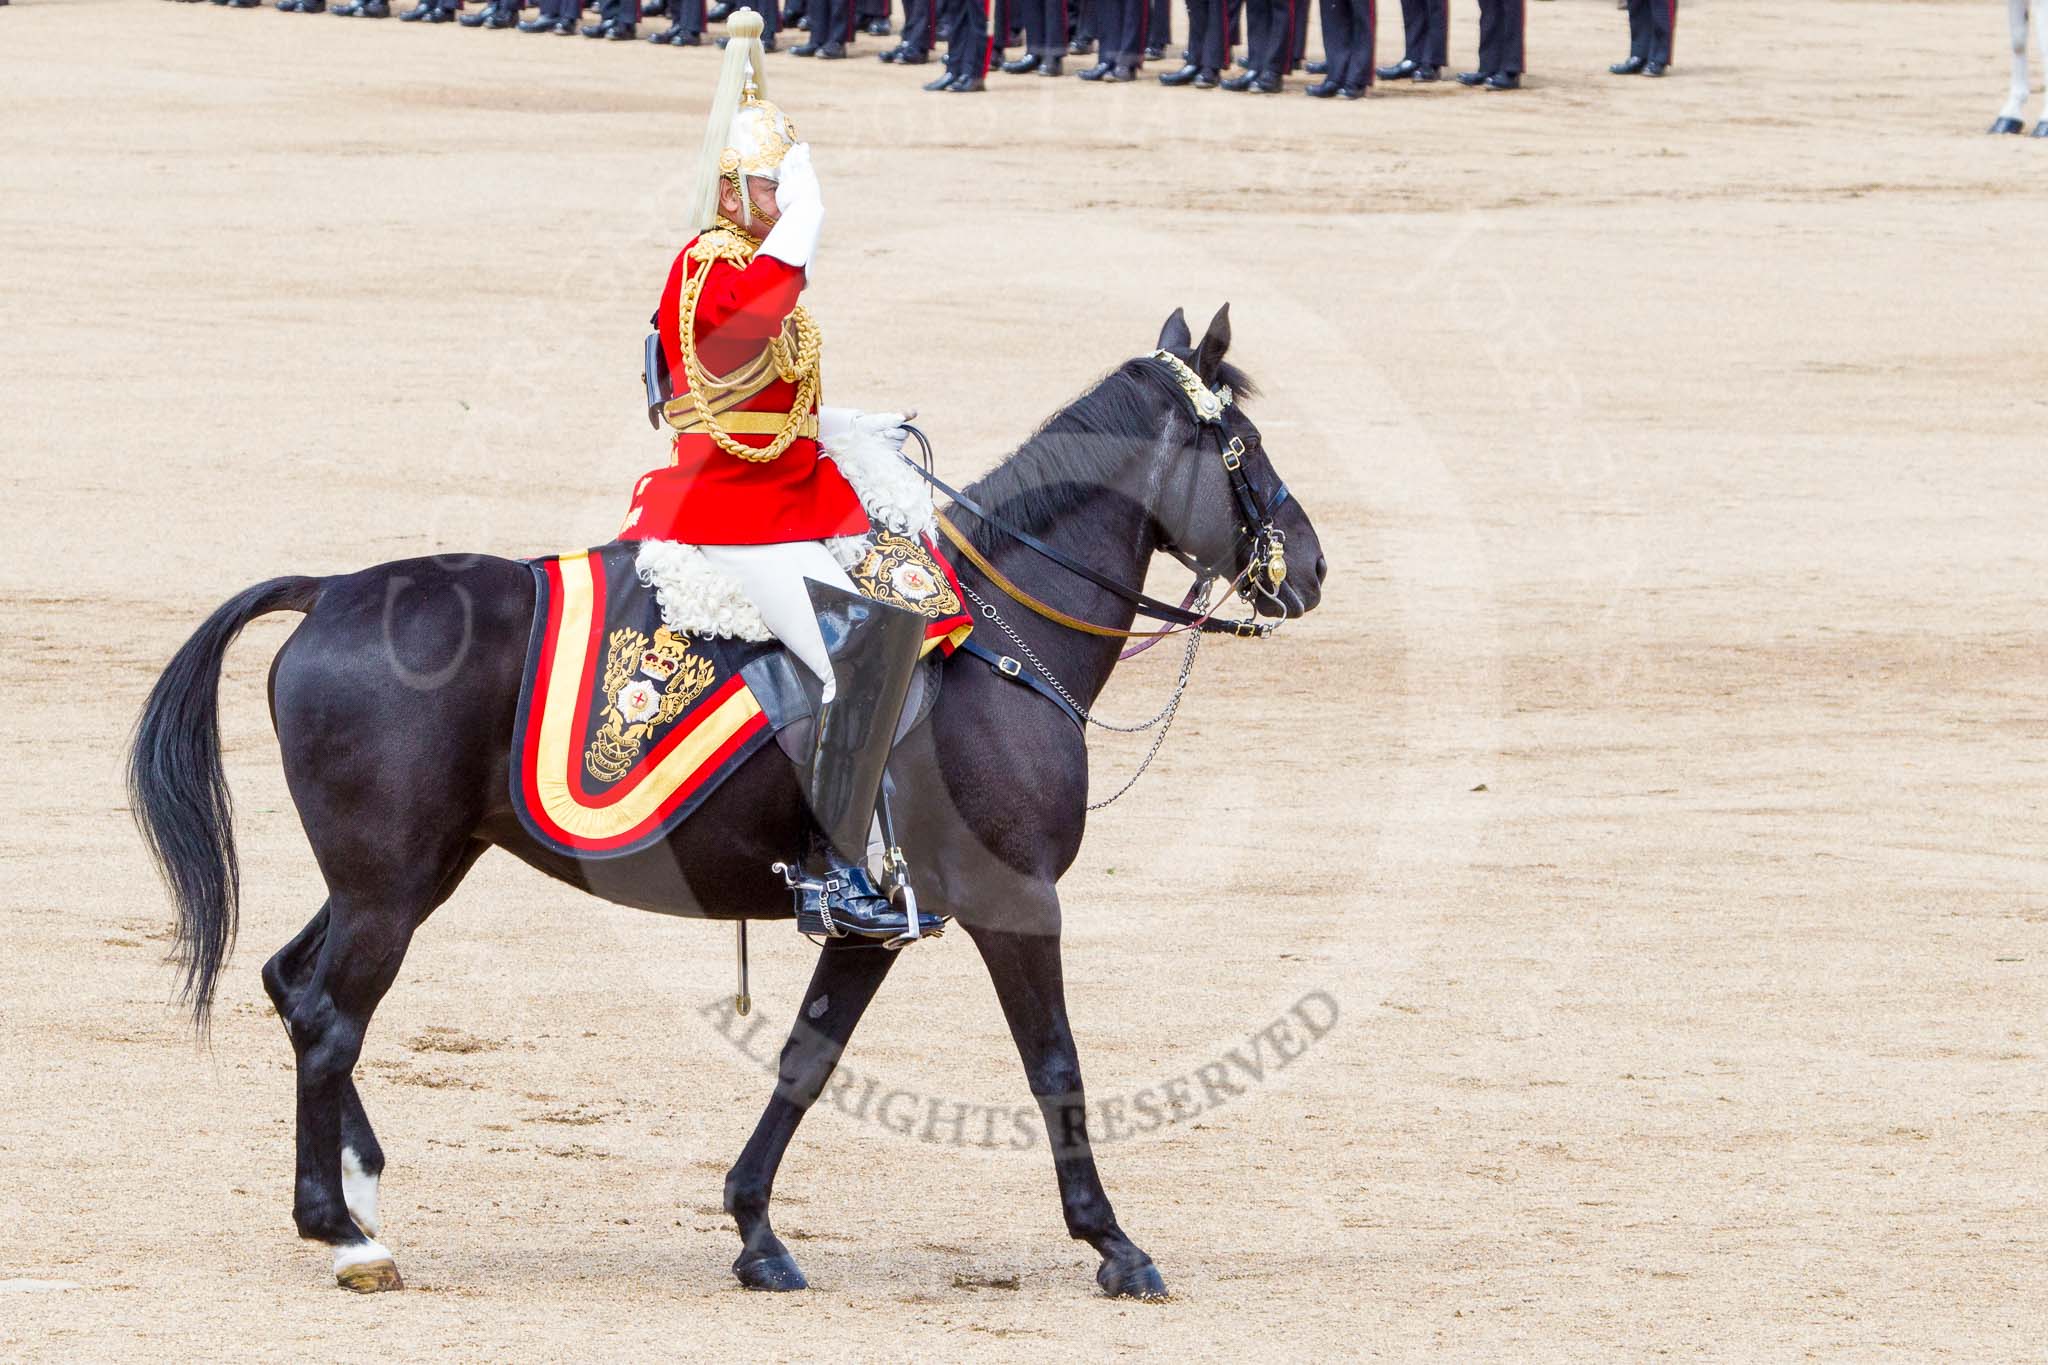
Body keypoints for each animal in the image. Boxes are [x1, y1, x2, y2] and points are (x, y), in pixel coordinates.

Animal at [136, 306, 1335, 1301]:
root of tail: (330, 592)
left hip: (410, 873)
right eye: (1244, 447)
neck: (997, 639)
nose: (1313, 568)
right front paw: (1113, 1243)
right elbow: (1055, 1067)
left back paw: (360, 1186)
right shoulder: (1016, 901)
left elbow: (808, 1058)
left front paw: (755, 1229)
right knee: (330, 1018)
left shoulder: (872, 921)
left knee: (292, 984)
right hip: (387, 888)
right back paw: (343, 1230)